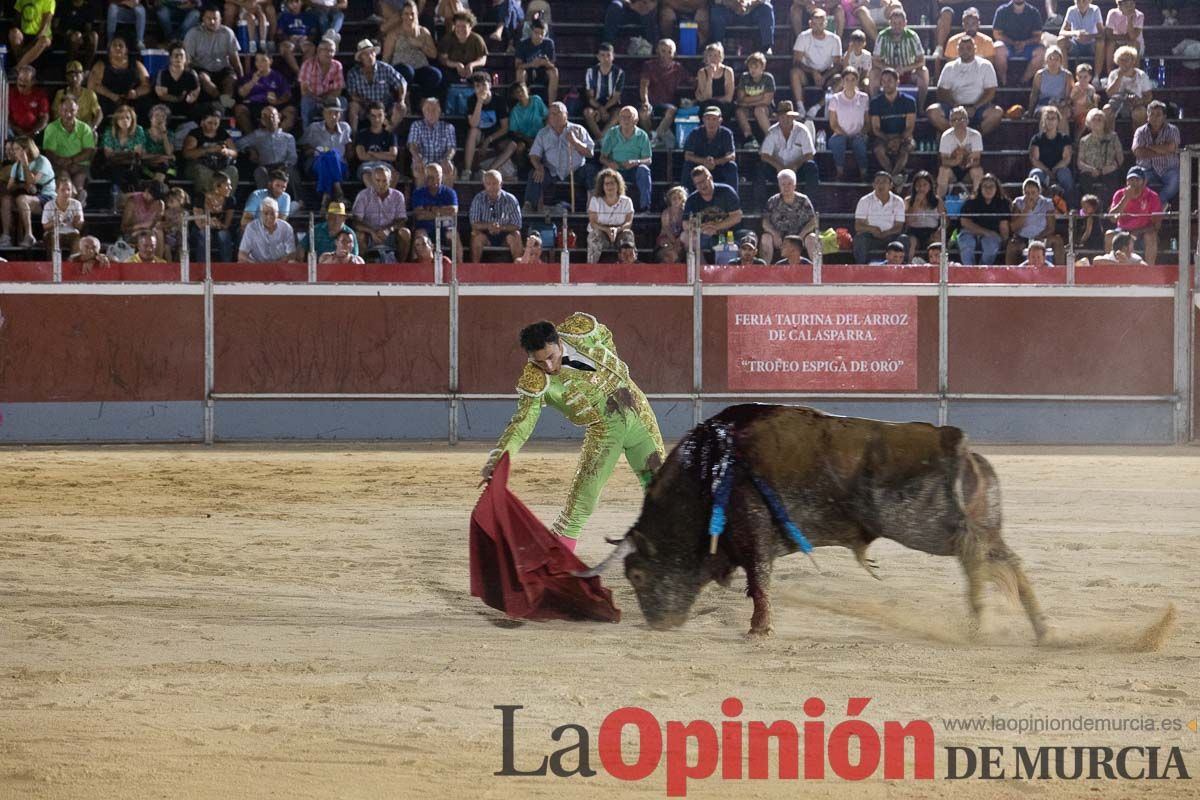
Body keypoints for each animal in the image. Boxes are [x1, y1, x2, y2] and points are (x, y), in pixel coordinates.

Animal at [580, 402, 1051, 642]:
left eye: (638, 575)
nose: (657, 623)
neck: (707, 471)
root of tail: (961, 445)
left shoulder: (754, 532)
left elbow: (760, 583)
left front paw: (759, 630)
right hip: (967, 524)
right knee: (994, 562)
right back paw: (1023, 627)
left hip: (930, 526)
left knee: (988, 560)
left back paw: (1003, 623)